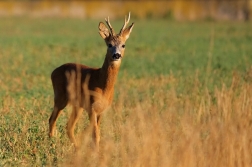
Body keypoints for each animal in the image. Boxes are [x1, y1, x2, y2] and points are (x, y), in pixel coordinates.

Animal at [47, 12, 134, 149]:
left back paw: (76, 147)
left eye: (123, 45)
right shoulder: (92, 107)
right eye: (109, 44)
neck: (102, 85)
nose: (116, 55)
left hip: (77, 105)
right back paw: (52, 144)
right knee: (52, 119)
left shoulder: (102, 109)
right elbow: (96, 134)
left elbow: (94, 131)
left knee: (69, 126)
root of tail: (53, 71)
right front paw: (96, 151)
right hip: (60, 96)